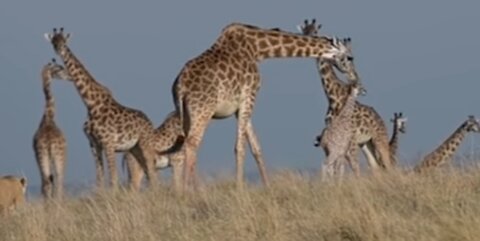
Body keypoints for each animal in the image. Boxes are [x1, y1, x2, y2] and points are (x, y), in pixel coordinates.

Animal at [32, 59, 70, 199]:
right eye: (60, 68)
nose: (71, 77)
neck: (48, 117)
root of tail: (49, 143)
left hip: (42, 157)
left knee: (47, 181)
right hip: (59, 157)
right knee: (58, 181)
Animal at [44, 28, 159, 189]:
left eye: (64, 42)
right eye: (53, 41)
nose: (59, 49)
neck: (91, 104)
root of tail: (149, 122)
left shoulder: (108, 144)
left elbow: (113, 179)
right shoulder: (94, 144)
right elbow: (99, 179)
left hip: (145, 144)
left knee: (152, 173)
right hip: (134, 148)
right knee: (148, 174)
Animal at [171, 21, 358, 189]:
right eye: (349, 57)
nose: (352, 76)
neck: (258, 49)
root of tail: (180, 86)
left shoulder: (240, 107)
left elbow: (256, 148)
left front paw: (267, 187)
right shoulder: (249, 95)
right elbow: (240, 147)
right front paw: (240, 189)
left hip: (184, 113)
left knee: (184, 147)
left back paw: (186, 190)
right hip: (203, 110)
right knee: (192, 144)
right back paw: (192, 191)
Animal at [298, 17, 396, 174]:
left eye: (315, 33)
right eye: (304, 32)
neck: (333, 96)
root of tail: (380, 118)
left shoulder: (349, 141)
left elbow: (348, 168)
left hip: (378, 139)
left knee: (388, 165)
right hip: (366, 143)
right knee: (374, 166)